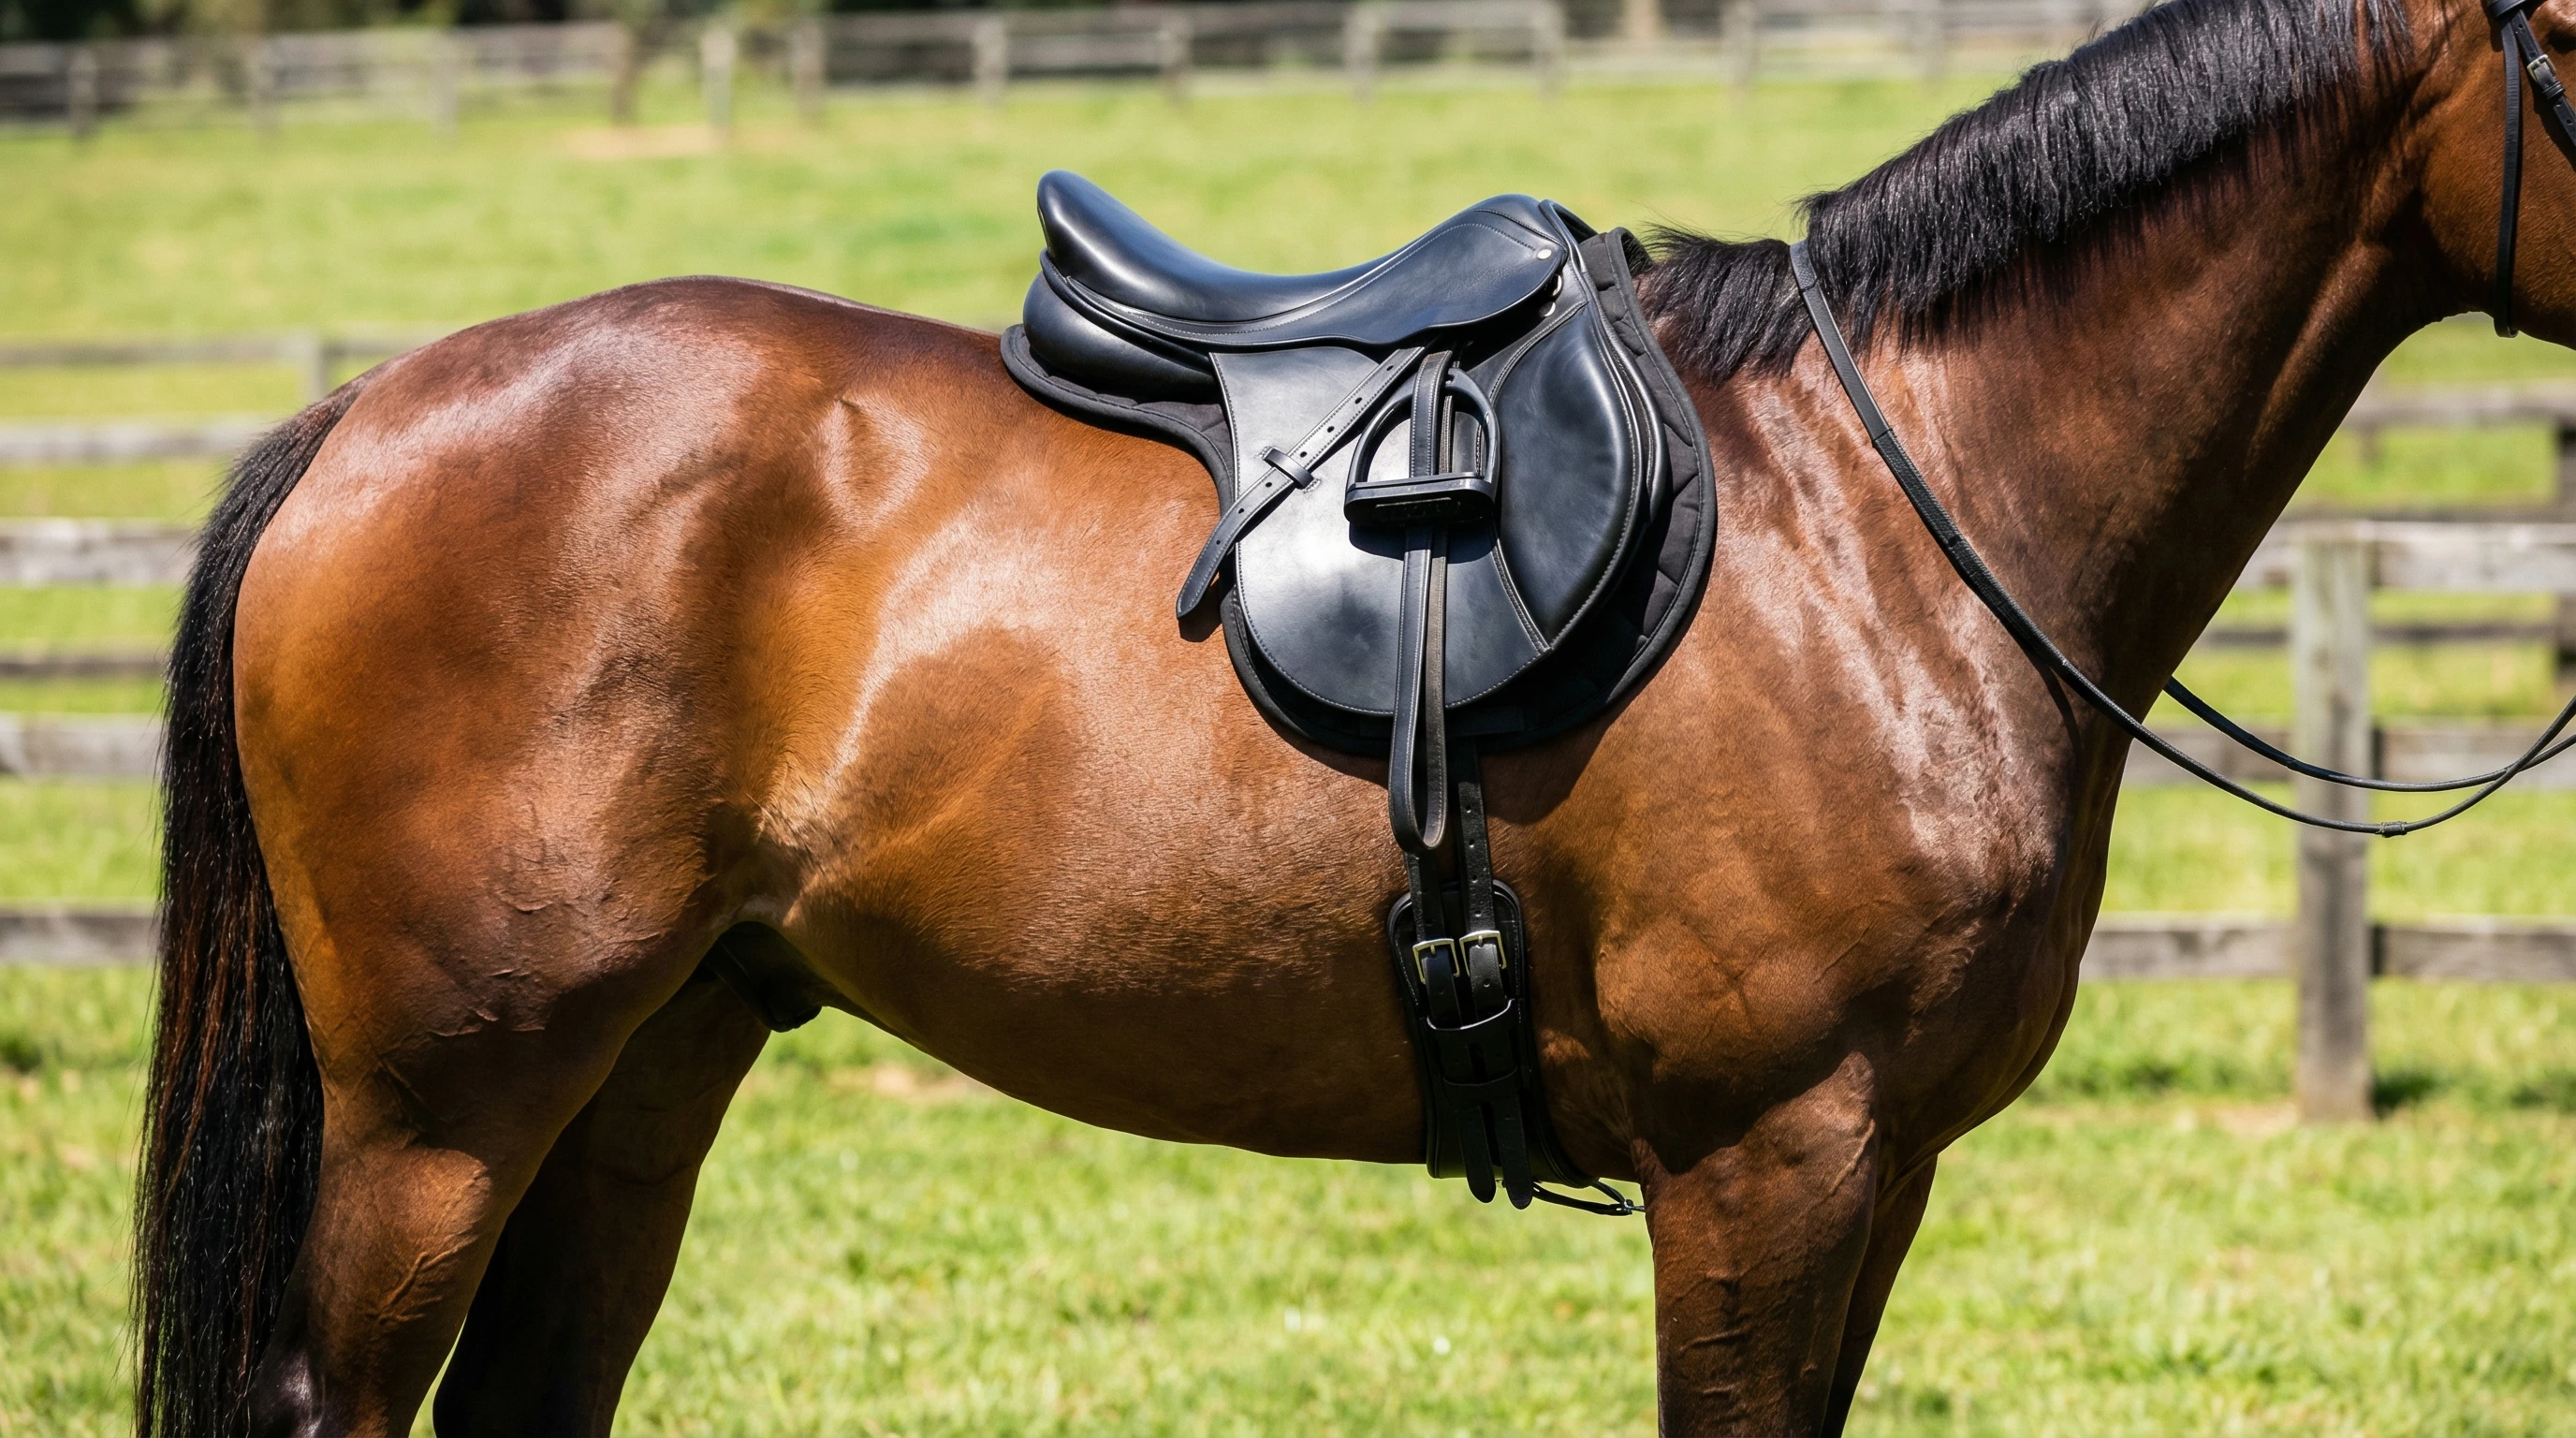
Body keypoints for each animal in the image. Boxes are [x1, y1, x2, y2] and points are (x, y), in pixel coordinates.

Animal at [128, 0, 2574, 1430]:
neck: (1891, 519)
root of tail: (368, 414)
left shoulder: (1863, 1173)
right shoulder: (1771, 1158)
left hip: (651, 1065)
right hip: (444, 1108)